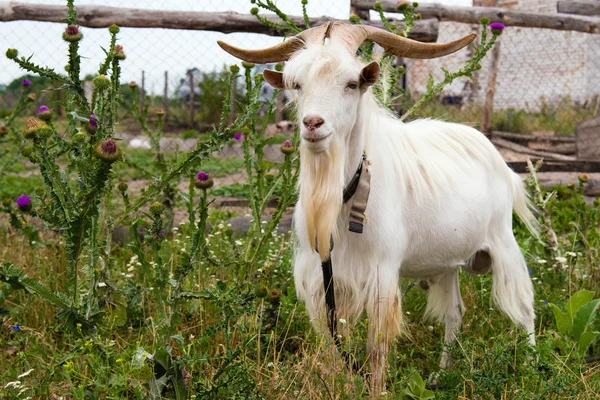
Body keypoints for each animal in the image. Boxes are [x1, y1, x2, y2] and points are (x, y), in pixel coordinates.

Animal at [220, 23, 540, 396]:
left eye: (352, 83)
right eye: (297, 84)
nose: (312, 123)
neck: (345, 197)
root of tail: (499, 160)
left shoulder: (381, 273)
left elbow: (376, 348)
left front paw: (376, 391)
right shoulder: (322, 278)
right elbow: (331, 346)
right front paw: (337, 385)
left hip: (504, 241)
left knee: (524, 305)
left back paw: (532, 368)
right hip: (448, 264)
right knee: (455, 314)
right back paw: (441, 375)